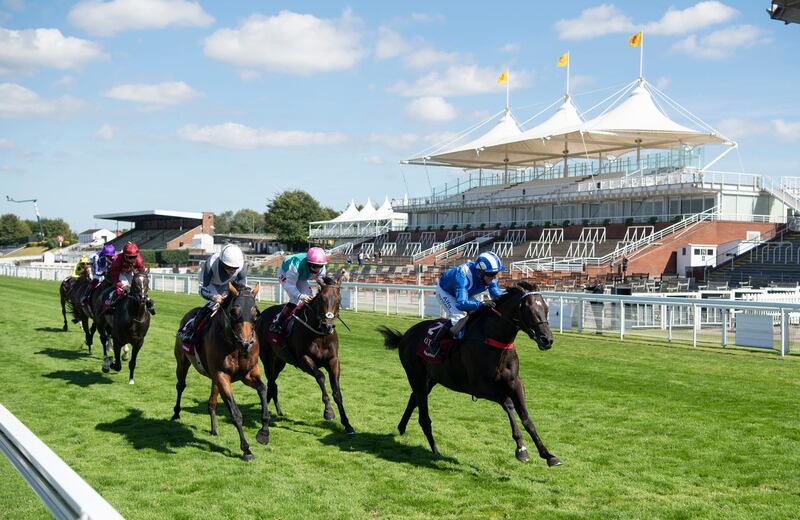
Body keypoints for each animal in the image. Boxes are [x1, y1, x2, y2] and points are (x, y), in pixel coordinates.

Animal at [376, 282, 560, 466]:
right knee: (424, 417)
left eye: (546, 308)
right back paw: (435, 450)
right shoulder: (480, 387)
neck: (493, 340)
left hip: (430, 379)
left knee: (413, 399)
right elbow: (508, 404)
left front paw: (548, 455)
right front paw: (521, 449)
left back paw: (402, 428)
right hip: (416, 376)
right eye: (529, 310)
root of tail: (405, 336)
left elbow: (527, 418)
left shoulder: (515, 383)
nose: (547, 339)